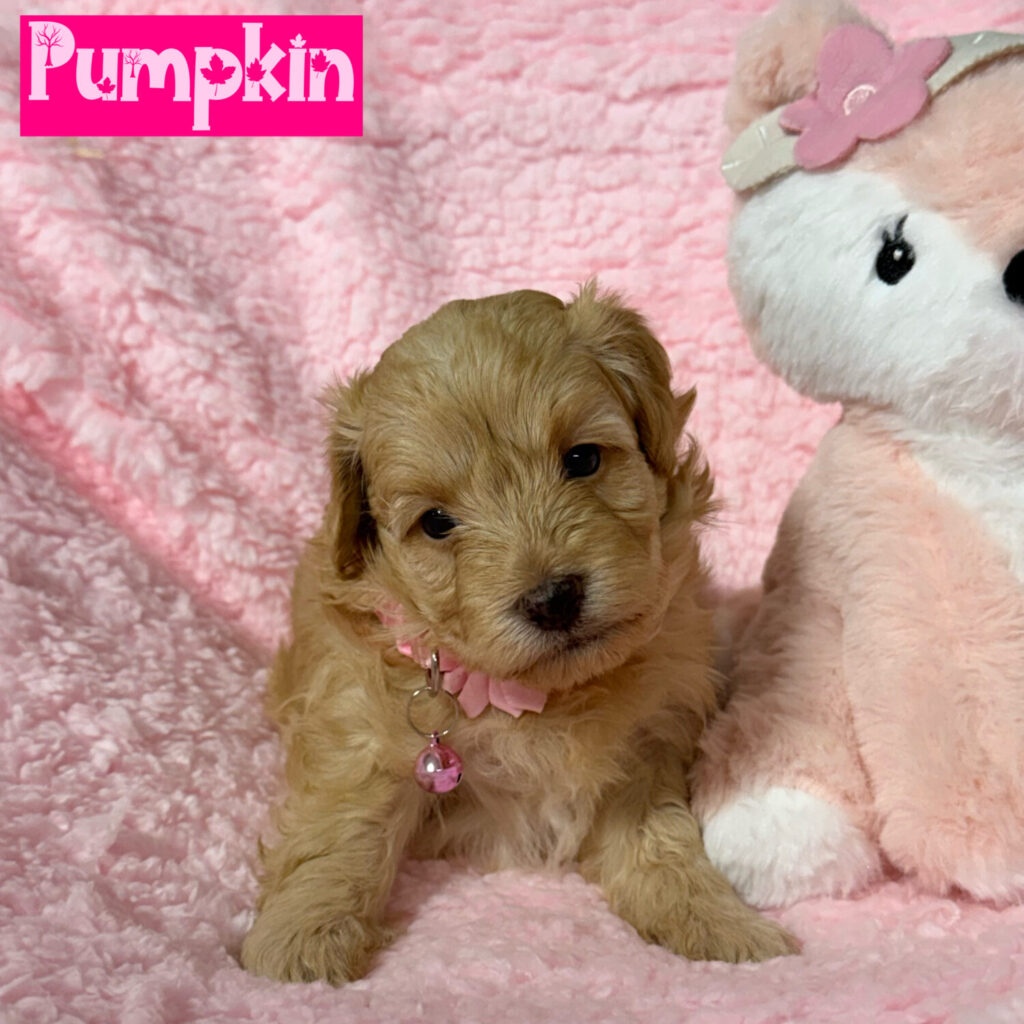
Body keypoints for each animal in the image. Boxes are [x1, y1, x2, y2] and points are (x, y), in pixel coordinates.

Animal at [240, 284, 798, 983]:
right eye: (437, 522)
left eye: (582, 459)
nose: (552, 599)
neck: (536, 697)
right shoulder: (358, 723)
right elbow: (340, 828)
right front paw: (300, 945)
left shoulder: (648, 744)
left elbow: (659, 842)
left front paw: (720, 927)